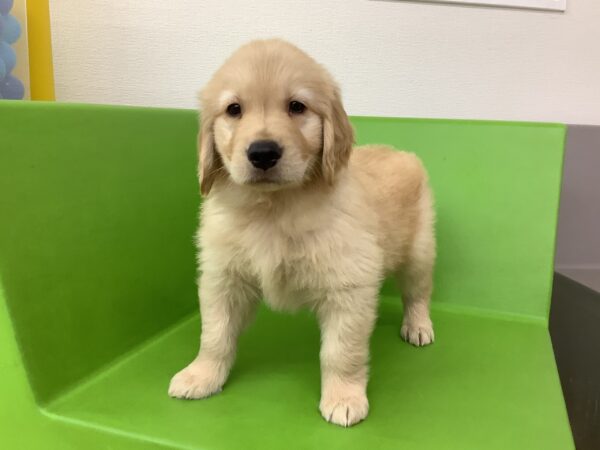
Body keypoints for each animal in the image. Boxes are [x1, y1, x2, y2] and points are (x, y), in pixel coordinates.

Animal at [168, 39, 435, 427]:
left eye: (297, 106)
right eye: (234, 110)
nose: (263, 153)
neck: (274, 207)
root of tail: (398, 152)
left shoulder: (348, 286)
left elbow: (341, 351)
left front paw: (344, 398)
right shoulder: (222, 277)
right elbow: (215, 334)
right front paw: (201, 375)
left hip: (419, 251)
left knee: (417, 293)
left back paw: (418, 326)